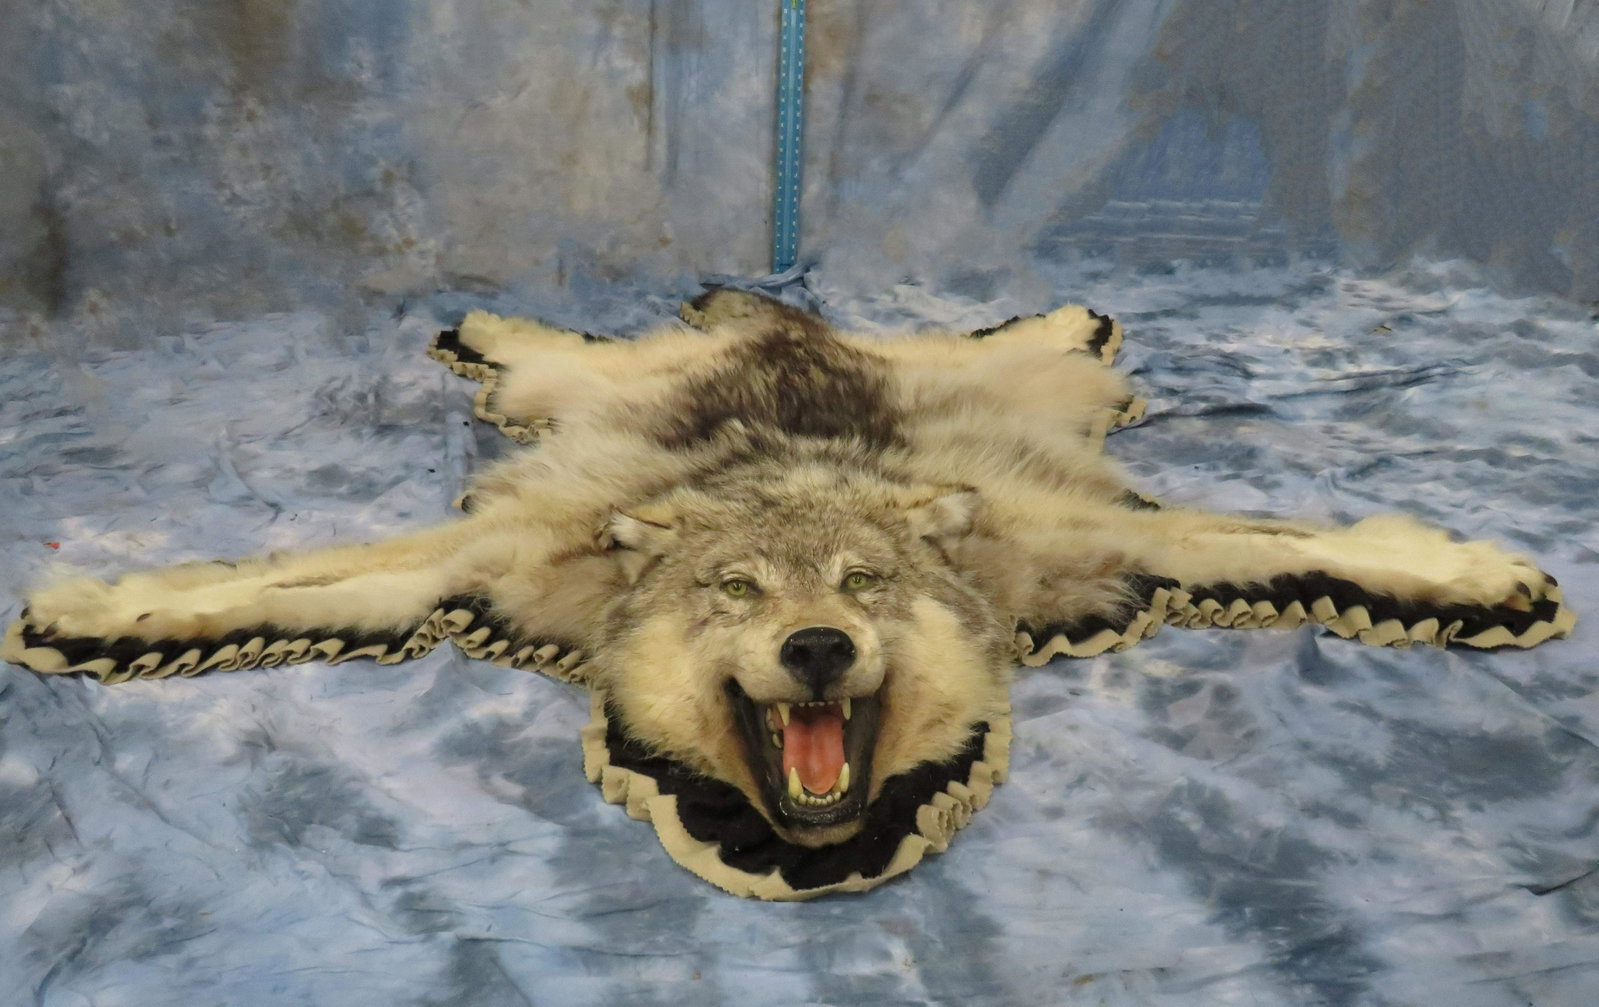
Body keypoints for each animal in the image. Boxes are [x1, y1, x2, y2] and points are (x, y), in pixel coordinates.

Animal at [2, 290, 1574, 899]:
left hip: (984, 382)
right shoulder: (478, 559)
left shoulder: (1082, 530)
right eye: (736, 588)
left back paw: (1066, 316)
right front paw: (97, 613)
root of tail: (790, 319)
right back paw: (496, 326)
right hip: (581, 389)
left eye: (865, 581)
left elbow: (1277, 537)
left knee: (1004, 340)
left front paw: (1477, 578)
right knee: (559, 347)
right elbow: (270, 578)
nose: (818, 644)